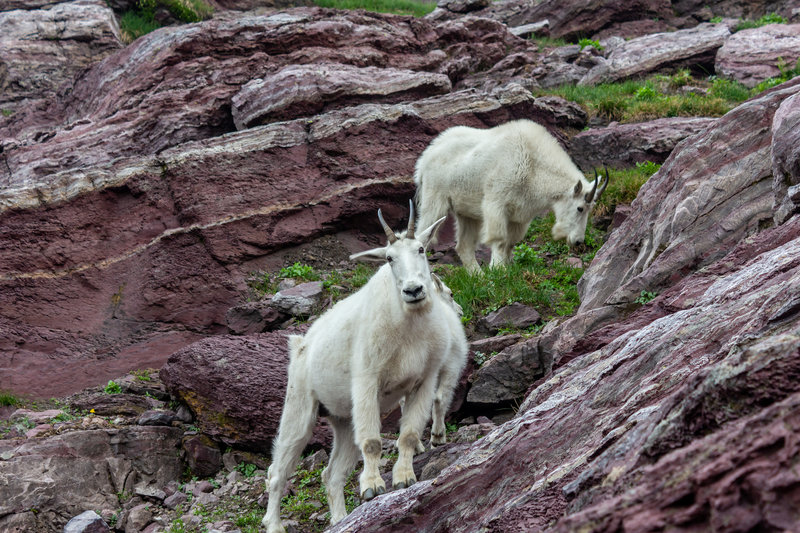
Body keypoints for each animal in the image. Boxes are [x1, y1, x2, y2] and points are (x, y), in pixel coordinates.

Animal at [260, 202, 468, 528]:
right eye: (389, 258)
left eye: (421, 249)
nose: (413, 290)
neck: (409, 324)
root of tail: (301, 345)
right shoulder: (368, 381)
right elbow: (371, 441)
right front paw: (372, 487)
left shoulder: (424, 380)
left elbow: (409, 435)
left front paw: (404, 478)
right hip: (299, 407)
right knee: (277, 471)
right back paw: (275, 525)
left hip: (342, 419)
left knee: (331, 474)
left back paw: (340, 519)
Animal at [416, 119, 608, 272]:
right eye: (580, 208)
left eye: (591, 209)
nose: (578, 241)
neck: (534, 167)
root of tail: (426, 156)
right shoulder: (496, 203)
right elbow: (499, 239)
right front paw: (498, 269)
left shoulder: (520, 217)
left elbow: (511, 242)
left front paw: (510, 268)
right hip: (434, 199)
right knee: (423, 234)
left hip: (466, 212)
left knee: (464, 246)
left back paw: (479, 277)